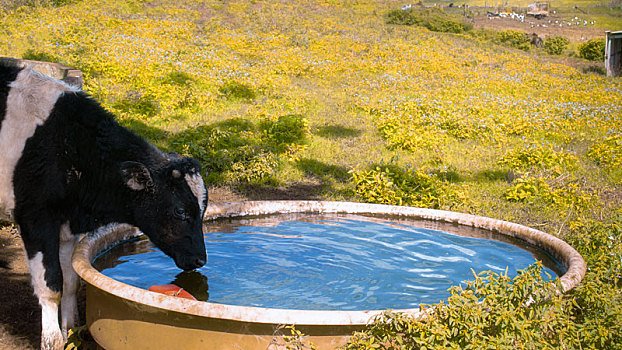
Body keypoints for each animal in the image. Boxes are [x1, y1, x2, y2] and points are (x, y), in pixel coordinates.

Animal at [0, 61, 210, 348]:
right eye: (180, 211)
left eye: (203, 210)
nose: (201, 259)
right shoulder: (35, 216)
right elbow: (51, 283)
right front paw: (52, 339)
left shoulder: (68, 223)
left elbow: (71, 279)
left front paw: (72, 330)